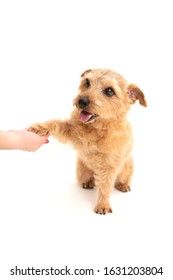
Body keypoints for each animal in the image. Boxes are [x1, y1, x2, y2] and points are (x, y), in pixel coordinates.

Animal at [28, 69, 147, 214]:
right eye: (87, 82)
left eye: (109, 91)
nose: (81, 101)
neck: (96, 128)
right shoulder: (72, 131)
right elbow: (56, 124)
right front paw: (38, 128)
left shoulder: (109, 166)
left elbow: (105, 185)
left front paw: (103, 204)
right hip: (81, 171)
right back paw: (88, 182)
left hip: (126, 168)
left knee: (124, 178)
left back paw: (124, 185)